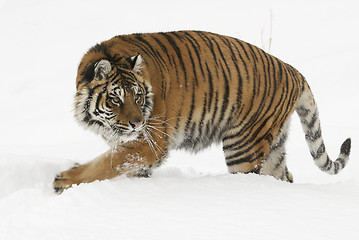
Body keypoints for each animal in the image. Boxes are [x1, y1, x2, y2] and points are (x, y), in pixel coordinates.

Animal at [52, 30, 352, 193]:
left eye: (137, 96)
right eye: (116, 99)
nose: (137, 124)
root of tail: (294, 71)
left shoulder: (149, 142)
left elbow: (108, 163)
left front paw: (64, 180)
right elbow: (122, 165)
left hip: (242, 145)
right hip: (273, 147)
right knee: (283, 176)